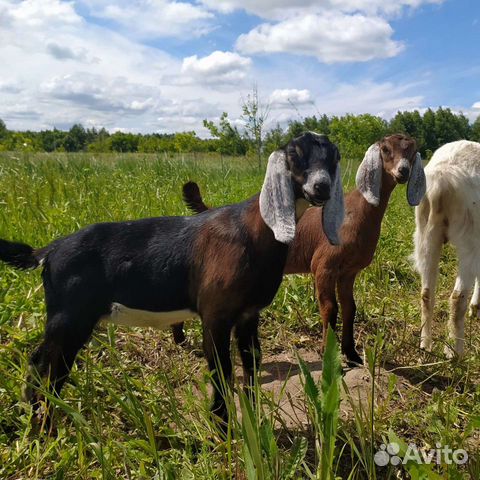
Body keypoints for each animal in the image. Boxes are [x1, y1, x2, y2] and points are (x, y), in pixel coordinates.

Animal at [176, 133, 428, 366]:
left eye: (412, 150)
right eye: (385, 149)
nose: (403, 171)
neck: (355, 214)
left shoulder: (348, 272)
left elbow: (350, 308)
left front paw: (352, 354)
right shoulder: (324, 266)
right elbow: (329, 308)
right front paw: (328, 353)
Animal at [412, 139, 480, 356]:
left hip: (426, 234)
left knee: (426, 293)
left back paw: (425, 345)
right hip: (469, 239)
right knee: (457, 298)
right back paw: (455, 352)